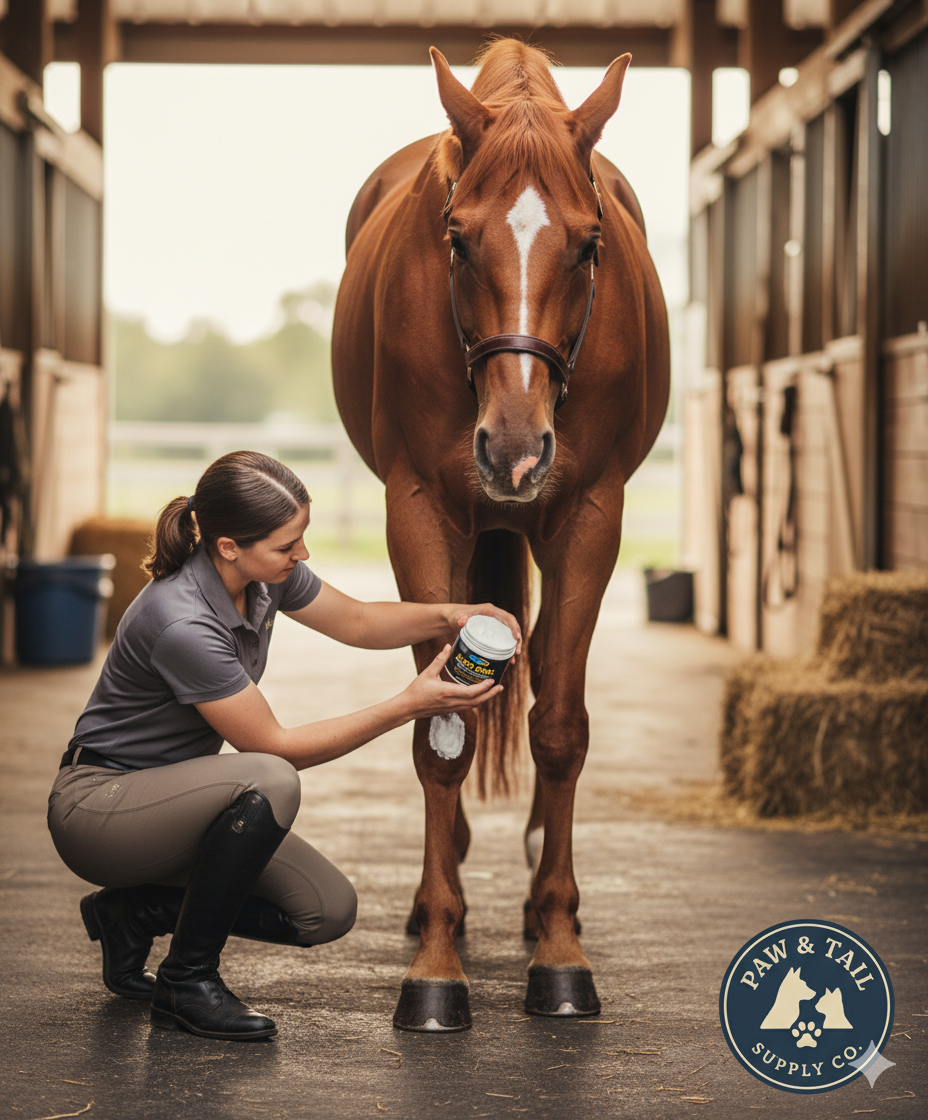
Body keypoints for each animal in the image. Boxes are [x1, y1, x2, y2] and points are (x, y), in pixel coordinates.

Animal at [332, 39, 670, 1032]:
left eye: (590, 244)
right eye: (456, 238)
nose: (514, 450)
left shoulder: (592, 516)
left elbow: (558, 728)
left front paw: (559, 951)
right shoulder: (417, 513)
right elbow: (437, 735)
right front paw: (437, 965)